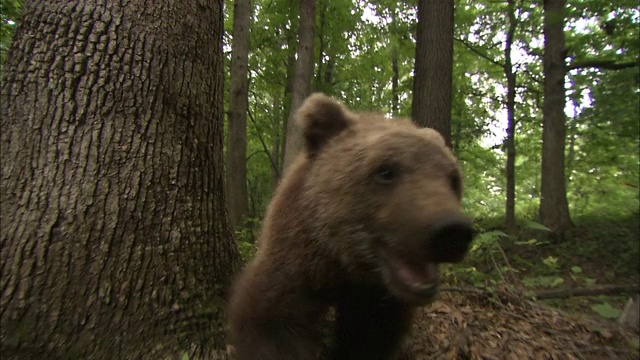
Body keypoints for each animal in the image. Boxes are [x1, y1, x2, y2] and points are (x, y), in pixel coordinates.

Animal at [228, 93, 472, 360]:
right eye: (386, 171)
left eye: (452, 178)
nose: (452, 232)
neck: (343, 264)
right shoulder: (293, 258)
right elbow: (271, 320)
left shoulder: (376, 297)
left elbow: (369, 335)